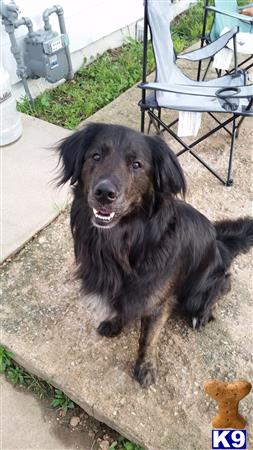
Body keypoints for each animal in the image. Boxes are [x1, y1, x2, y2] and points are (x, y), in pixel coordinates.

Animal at [57, 122, 253, 386]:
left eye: (136, 164)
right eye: (95, 156)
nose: (104, 193)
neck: (123, 243)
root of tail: (219, 242)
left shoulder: (158, 303)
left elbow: (148, 339)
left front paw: (146, 367)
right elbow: (122, 306)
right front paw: (115, 322)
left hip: (200, 292)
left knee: (222, 287)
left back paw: (203, 315)